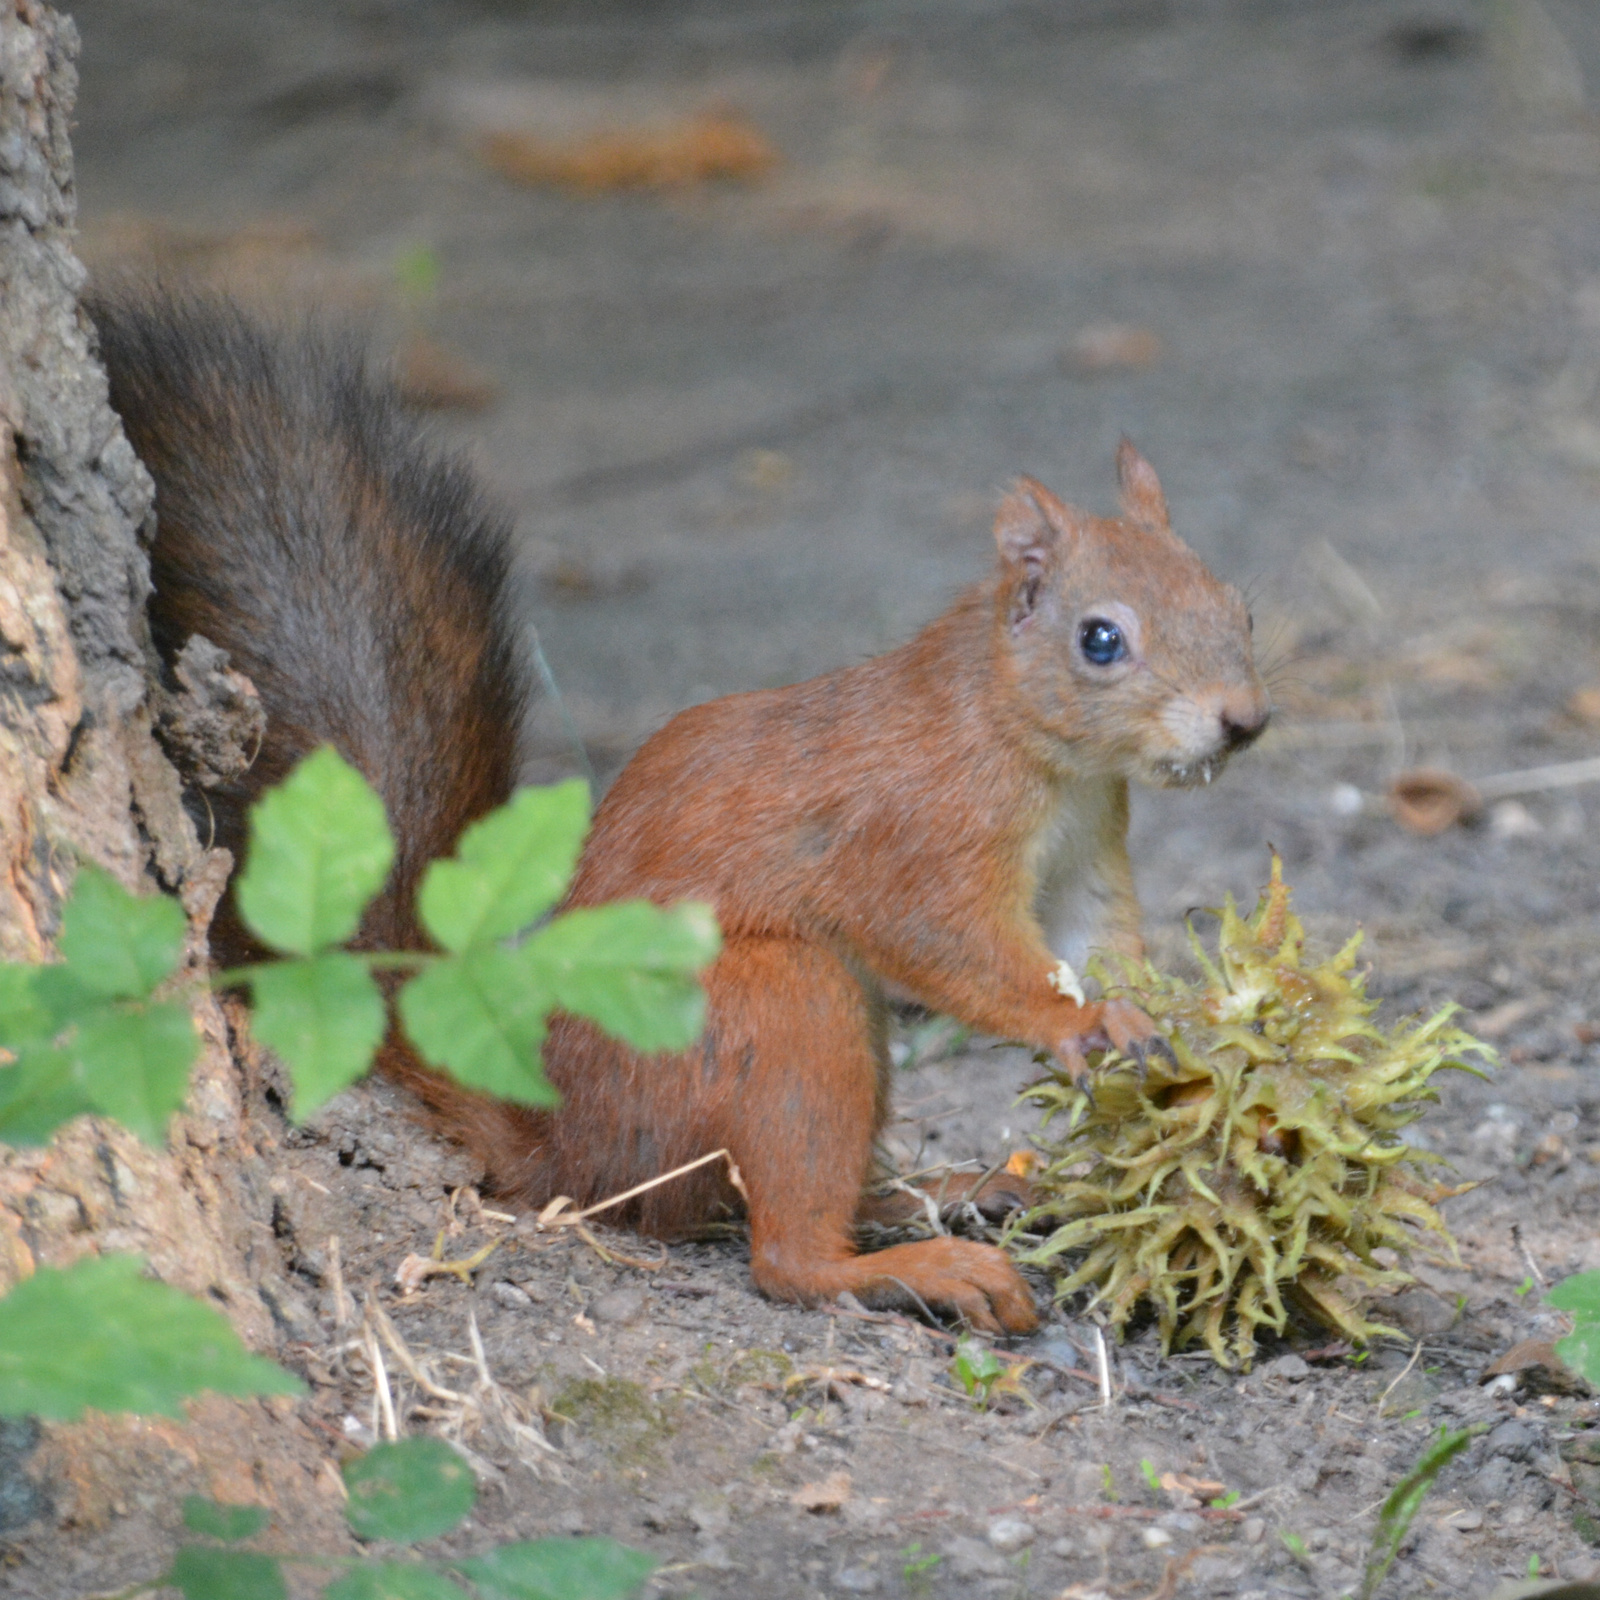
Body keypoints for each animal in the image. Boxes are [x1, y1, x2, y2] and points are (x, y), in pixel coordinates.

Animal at [106, 291, 1267, 1337]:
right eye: (1100, 639)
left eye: (1236, 605)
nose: (1244, 721)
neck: (1035, 747)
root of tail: (572, 1152)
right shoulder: (920, 831)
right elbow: (953, 945)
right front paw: (1078, 1024)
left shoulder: (1086, 846)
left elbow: (1096, 940)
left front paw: (1171, 1032)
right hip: (773, 1009)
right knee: (781, 1251)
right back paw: (915, 1266)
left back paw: (950, 1193)